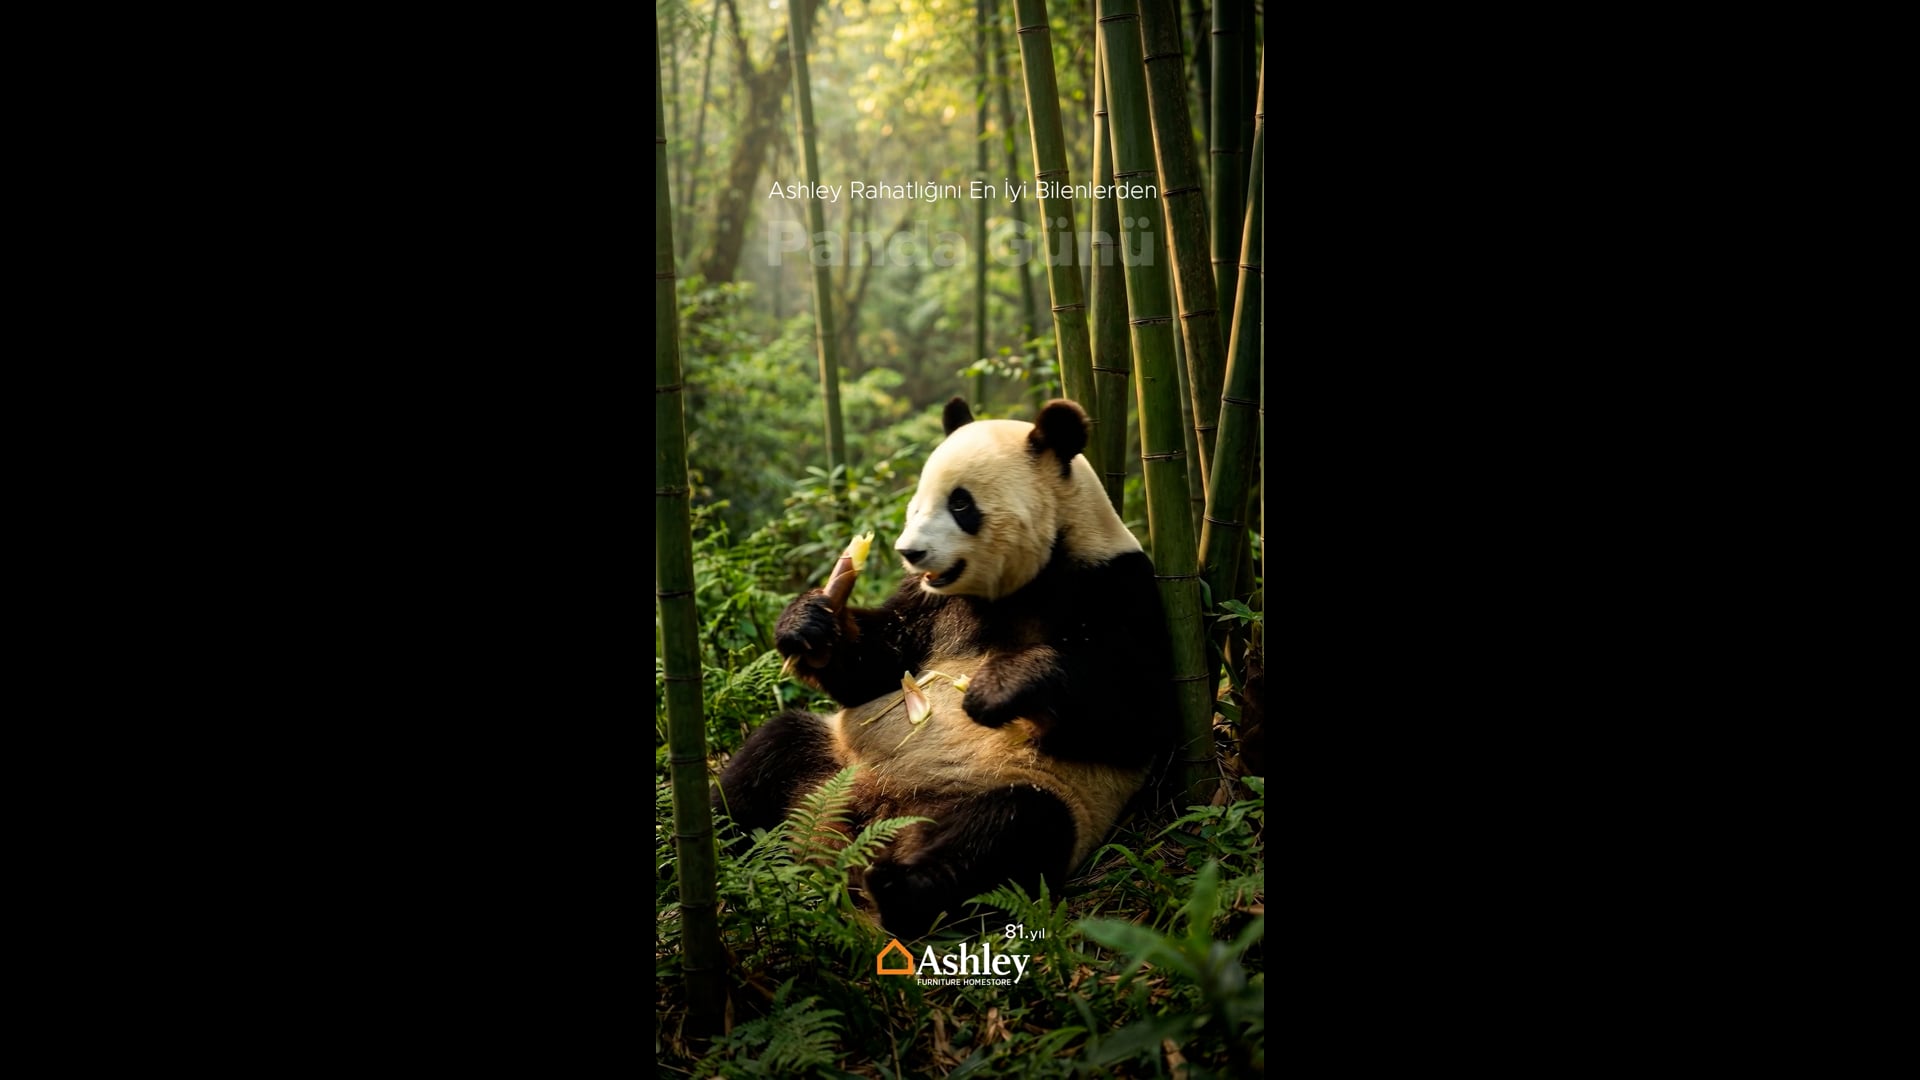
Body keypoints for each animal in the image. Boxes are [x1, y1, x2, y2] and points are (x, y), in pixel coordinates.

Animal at [714, 396, 1177, 939]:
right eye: (918, 501)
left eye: (961, 504)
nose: (909, 552)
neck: (1026, 578)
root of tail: (878, 812)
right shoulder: (930, 603)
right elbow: (875, 667)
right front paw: (809, 624)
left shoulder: (1116, 586)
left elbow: (1136, 713)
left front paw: (998, 688)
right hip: (839, 759)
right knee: (772, 751)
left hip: (1029, 795)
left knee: (1009, 829)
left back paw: (899, 888)